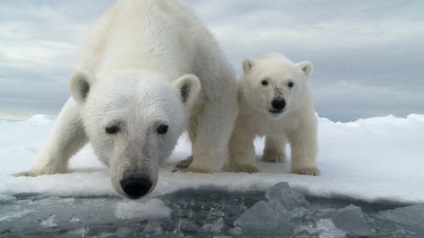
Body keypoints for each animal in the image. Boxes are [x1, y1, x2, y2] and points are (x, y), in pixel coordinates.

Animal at [19, 0, 238, 198]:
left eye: (162, 128)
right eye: (110, 128)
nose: (136, 183)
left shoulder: (200, 54)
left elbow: (219, 97)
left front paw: (198, 169)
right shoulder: (91, 60)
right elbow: (69, 120)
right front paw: (32, 172)